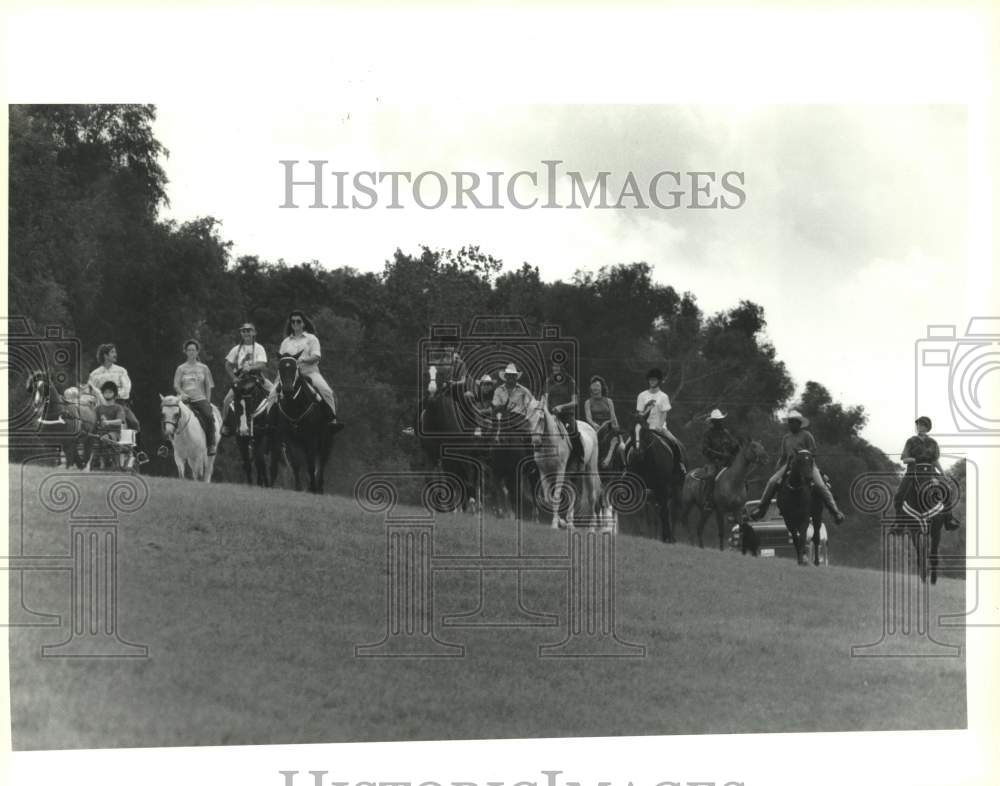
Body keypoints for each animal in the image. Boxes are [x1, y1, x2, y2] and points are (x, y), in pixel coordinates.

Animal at [270, 354, 336, 490]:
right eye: (280, 368)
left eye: (295, 368)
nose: (287, 390)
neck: (295, 406)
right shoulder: (289, 438)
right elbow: (296, 463)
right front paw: (298, 487)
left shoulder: (311, 438)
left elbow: (311, 465)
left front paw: (313, 487)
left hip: (326, 442)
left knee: (321, 463)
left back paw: (319, 487)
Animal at [528, 398, 604, 528]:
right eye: (528, 420)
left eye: (541, 418)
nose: (536, 442)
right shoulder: (544, 472)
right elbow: (548, 498)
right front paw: (561, 521)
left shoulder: (560, 470)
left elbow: (556, 496)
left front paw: (555, 524)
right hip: (568, 474)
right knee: (572, 493)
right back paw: (570, 522)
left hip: (590, 469)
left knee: (592, 496)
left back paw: (592, 526)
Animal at [624, 410, 680, 540]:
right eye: (630, 430)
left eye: (644, 429)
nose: (637, 453)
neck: (646, 460)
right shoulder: (639, 488)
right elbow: (640, 511)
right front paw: (641, 533)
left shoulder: (663, 487)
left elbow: (664, 511)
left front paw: (667, 537)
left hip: (675, 488)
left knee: (672, 511)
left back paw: (671, 535)